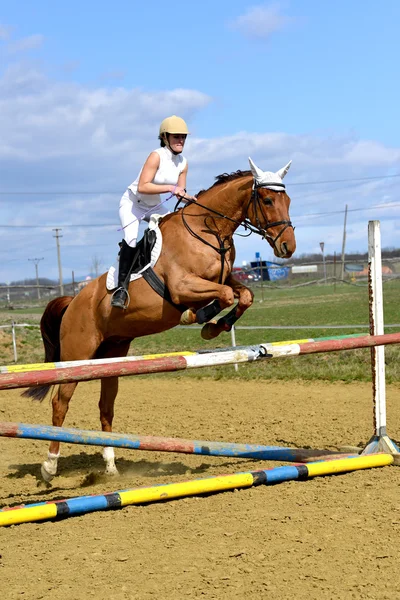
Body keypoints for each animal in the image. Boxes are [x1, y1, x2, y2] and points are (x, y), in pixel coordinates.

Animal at [24, 157, 294, 480]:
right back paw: (50, 465)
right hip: (78, 355)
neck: (210, 231)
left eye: (288, 201)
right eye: (267, 200)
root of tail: (73, 301)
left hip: (112, 356)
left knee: (105, 407)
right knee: (60, 402)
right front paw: (198, 318)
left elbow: (243, 295)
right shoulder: (182, 286)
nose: (288, 247)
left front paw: (216, 327)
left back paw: (110, 466)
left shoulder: (225, 278)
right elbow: (226, 295)